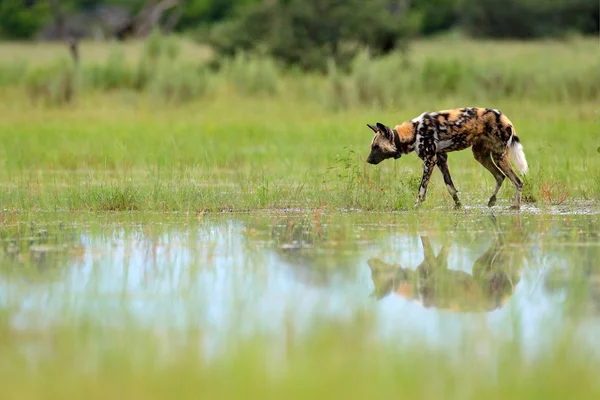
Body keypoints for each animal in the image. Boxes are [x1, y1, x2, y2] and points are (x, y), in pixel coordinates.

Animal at [366, 108, 528, 211]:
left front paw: (416, 207)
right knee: (500, 176)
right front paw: (458, 206)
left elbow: (421, 189)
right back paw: (492, 201)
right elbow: (450, 187)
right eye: (372, 146)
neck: (413, 133)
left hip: (499, 157)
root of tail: (505, 118)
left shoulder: (430, 160)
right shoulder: (441, 159)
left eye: (376, 147)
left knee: (518, 181)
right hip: (480, 155)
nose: (368, 160)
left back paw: (516, 207)